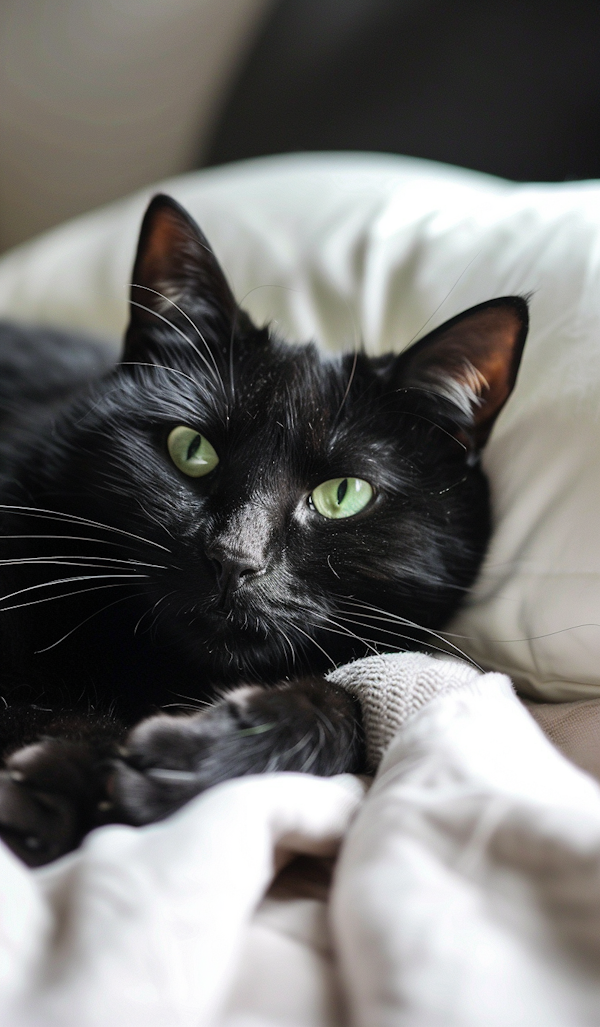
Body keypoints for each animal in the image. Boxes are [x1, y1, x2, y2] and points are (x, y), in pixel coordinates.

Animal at [0, 194, 526, 866]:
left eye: (342, 494)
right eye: (191, 450)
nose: (233, 558)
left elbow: (354, 703)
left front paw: (196, 760)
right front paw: (59, 780)